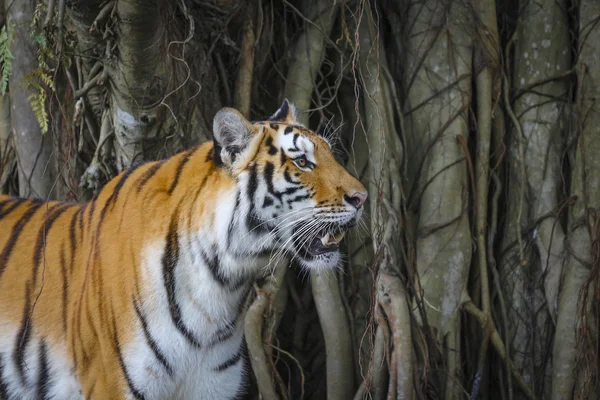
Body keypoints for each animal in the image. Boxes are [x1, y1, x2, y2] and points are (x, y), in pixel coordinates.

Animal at [0, 101, 366, 400]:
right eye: (302, 162)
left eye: (330, 154)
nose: (362, 198)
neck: (222, 285)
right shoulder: (110, 385)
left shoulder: (212, 387)